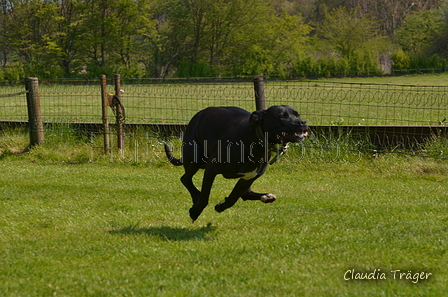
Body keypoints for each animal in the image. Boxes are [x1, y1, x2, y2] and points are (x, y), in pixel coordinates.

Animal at [164, 104, 308, 220]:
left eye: (297, 114)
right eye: (282, 117)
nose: (303, 122)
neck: (255, 141)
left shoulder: (249, 178)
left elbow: (233, 198)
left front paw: (220, 206)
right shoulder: (211, 169)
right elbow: (205, 196)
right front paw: (195, 211)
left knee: (245, 194)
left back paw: (266, 196)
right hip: (193, 158)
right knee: (185, 179)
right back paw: (196, 196)